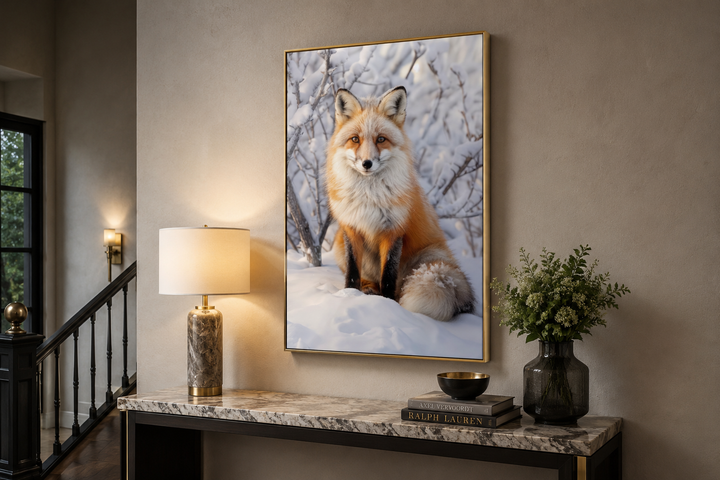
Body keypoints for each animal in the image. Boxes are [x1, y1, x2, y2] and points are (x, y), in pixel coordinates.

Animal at [325, 86, 475, 322]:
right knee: (368, 278)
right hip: (339, 244)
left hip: (427, 259)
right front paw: (349, 295)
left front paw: (389, 307)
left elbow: (388, 275)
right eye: (355, 139)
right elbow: (352, 272)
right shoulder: (351, 229)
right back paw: (368, 288)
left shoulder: (393, 231)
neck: (369, 195)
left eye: (381, 139)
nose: (367, 163)